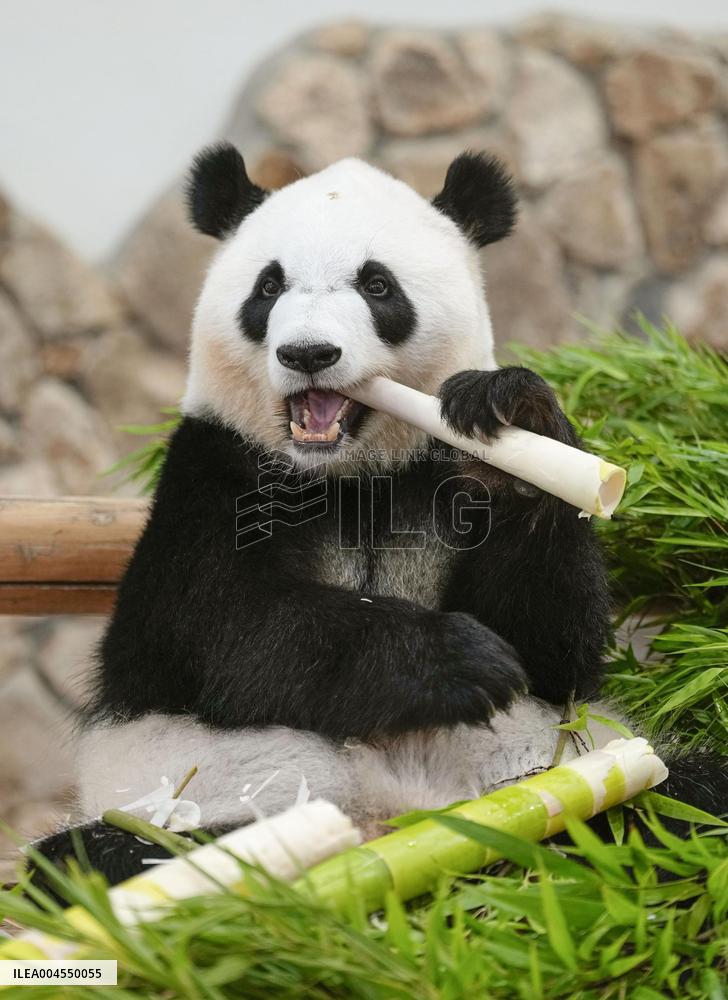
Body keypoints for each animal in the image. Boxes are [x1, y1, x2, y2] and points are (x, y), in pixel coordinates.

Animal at [35, 144, 726, 884]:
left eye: (377, 285)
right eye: (267, 287)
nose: (308, 353)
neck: (348, 473)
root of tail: (395, 819)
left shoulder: (439, 482)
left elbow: (555, 649)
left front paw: (512, 416)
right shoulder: (213, 471)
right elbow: (225, 625)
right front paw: (460, 660)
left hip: (576, 763)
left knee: (686, 799)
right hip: (186, 803)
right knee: (97, 856)